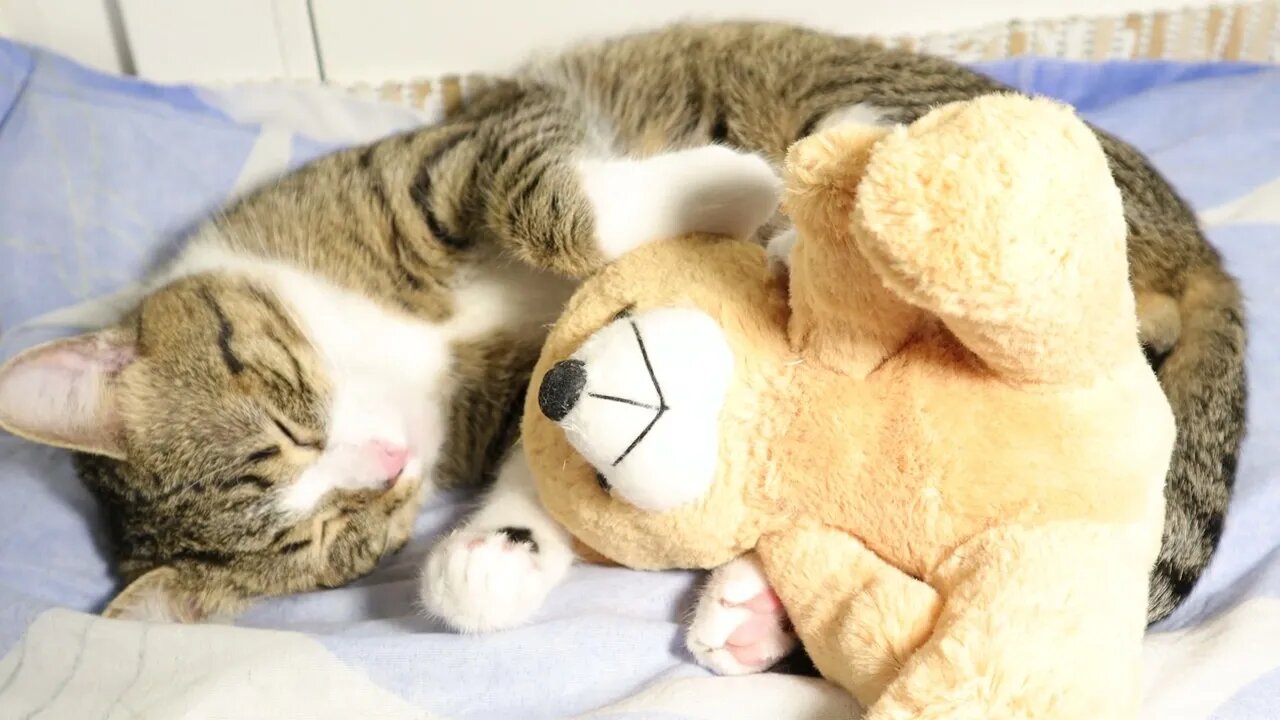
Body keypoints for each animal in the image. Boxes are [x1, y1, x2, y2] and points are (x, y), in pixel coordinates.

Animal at [0, 20, 1244, 655]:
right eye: (331, 540)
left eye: (283, 420)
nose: (388, 464)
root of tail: (1192, 240)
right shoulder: (507, 388)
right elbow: (540, 456)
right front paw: (490, 560)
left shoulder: (447, 158)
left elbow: (547, 196)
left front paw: (730, 185)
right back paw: (752, 612)